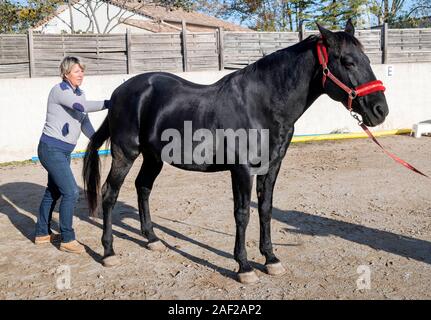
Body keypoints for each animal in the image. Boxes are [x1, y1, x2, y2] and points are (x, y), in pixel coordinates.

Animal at [82, 21, 390, 284]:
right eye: (348, 61)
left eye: (368, 60)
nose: (380, 110)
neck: (261, 105)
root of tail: (119, 92)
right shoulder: (242, 170)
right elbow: (242, 213)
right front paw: (244, 266)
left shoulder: (272, 167)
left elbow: (264, 209)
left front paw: (271, 259)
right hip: (126, 153)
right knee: (110, 194)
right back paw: (109, 252)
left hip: (153, 157)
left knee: (143, 188)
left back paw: (153, 240)